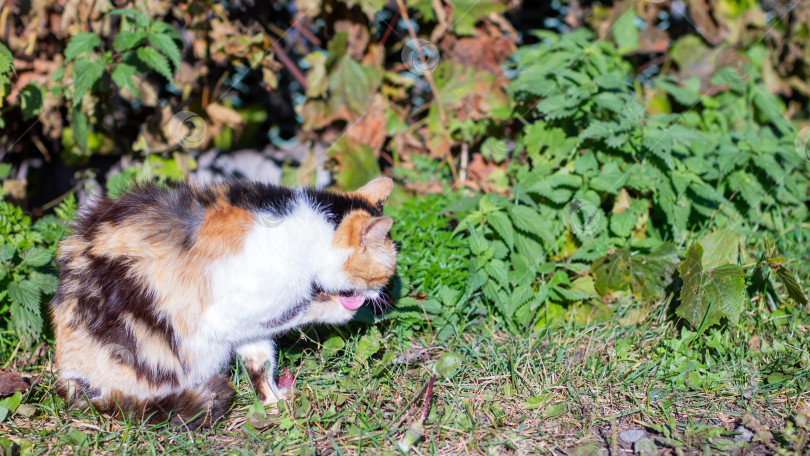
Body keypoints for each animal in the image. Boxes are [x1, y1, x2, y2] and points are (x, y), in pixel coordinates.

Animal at [49, 176, 396, 430]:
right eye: (382, 275)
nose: (381, 296)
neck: (309, 235)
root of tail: (70, 378)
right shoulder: (230, 313)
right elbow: (303, 309)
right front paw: (334, 308)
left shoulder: (247, 326)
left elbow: (261, 363)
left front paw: (274, 402)